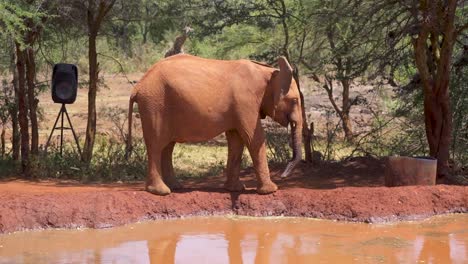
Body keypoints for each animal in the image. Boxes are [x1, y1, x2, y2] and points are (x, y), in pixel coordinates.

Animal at [128, 53, 304, 195]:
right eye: (295, 100)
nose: (283, 175)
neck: (269, 72)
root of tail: (137, 86)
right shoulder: (246, 102)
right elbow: (254, 139)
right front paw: (270, 191)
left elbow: (236, 141)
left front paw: (235, 189)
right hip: (154, 105)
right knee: (157, 145)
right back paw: (161, 192)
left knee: (167, 146)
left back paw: (175, 187)